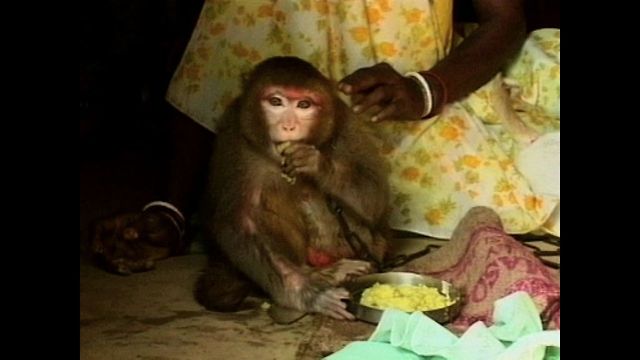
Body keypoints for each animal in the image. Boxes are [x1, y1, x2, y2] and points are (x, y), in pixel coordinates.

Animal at [196, 56, 390, 320]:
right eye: (276, 102)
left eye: (304, 105)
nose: (289, 126)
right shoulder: (233, 135)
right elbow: (240, 223)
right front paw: (308, 295)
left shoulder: (346, 122)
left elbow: (375, 199)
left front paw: (316, 164)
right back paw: (321, 274)